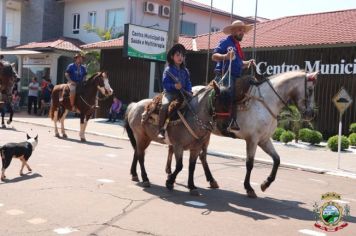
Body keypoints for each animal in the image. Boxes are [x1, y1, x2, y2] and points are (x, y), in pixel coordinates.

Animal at [164, 70, 318, 197]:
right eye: (310, 90)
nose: (311, 114)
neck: (265, 102)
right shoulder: (253, 140)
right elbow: (250, 164)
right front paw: (249, 188)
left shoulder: (264, 140)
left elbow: (277, 160)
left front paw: (266, 183)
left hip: (204, 134)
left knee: (200, 156)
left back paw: (209, 179)